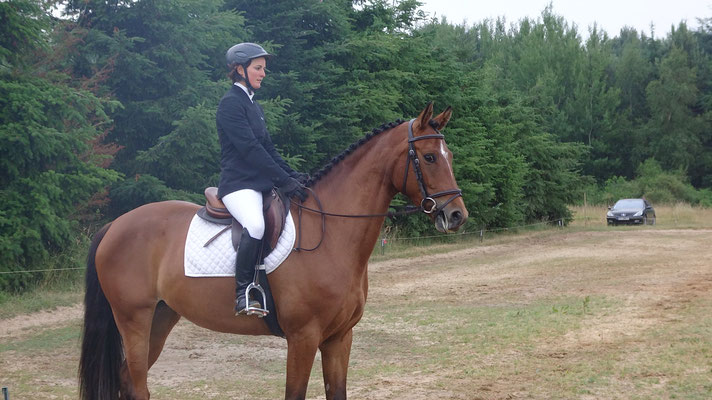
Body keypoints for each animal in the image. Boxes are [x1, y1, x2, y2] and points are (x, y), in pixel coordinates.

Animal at [79, 101, 468, 398]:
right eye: (430, 157)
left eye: (449, 154)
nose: (457, 215)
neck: (332, 233)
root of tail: (114, 226)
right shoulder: (303, 338)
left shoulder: (339, 338)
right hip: (134, 318)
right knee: (137, 384)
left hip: (161, 317)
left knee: (128, 379)